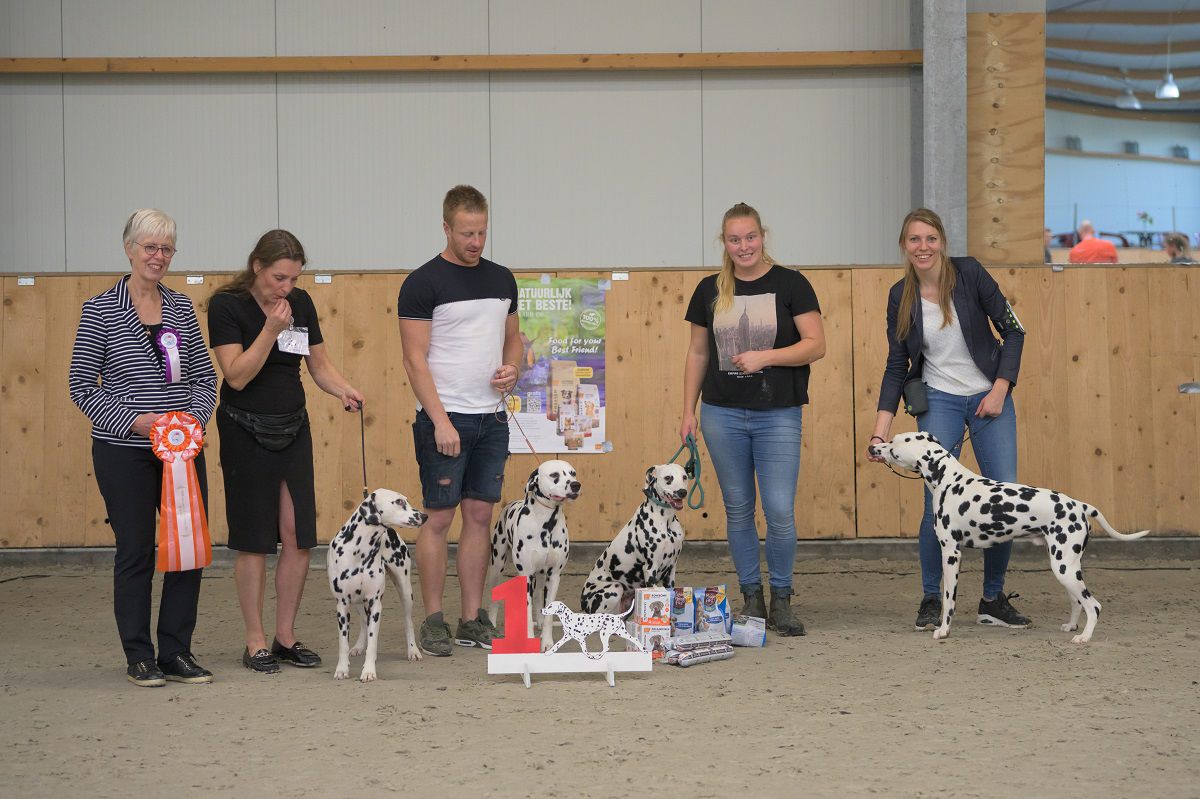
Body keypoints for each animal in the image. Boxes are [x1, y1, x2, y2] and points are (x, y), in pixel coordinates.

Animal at [326, 484, 429, 676]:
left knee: (408, 622)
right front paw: (342, 669)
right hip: (358, 601)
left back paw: (413, 650)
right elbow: (343, 643)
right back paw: (359, 646)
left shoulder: (375, 604)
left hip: (405, 591)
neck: (358, 550)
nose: (425, 516)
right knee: (362, 622)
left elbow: (372, 643)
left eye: (406, 499)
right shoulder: (342, 605)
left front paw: (368, 671)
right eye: (399, 501)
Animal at [484, 458, 583, 652]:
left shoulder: (554, 576)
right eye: (554, 475)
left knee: (538, 597)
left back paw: (540, 620)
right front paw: (529, 640)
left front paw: (547, 641)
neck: (547, 524)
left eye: (573, 473)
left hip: (541, 575)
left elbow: (548, 612)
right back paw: (491, 622)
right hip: (497, 565)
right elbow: (526, 612)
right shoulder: (527, 576)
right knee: (495, 597)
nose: (575, 485)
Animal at [583, 460, 691, 609]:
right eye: (668, 478)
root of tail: (582, 602)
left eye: (684, 477)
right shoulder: (650, 569)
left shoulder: (671, 570)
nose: (682, 492)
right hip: (614, 588)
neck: (665, 521)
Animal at [873, 429, 1152, 643]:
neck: (949, 479)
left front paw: (944, 630)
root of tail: (1079, 505)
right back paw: (1072, 626)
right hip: (1067, 567)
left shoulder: (951, 554)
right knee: (1077, 601)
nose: (873, 447)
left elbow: (949, 599)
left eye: (894, 445)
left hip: (1064, 568)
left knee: (1093, 605)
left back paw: (1083, 637)